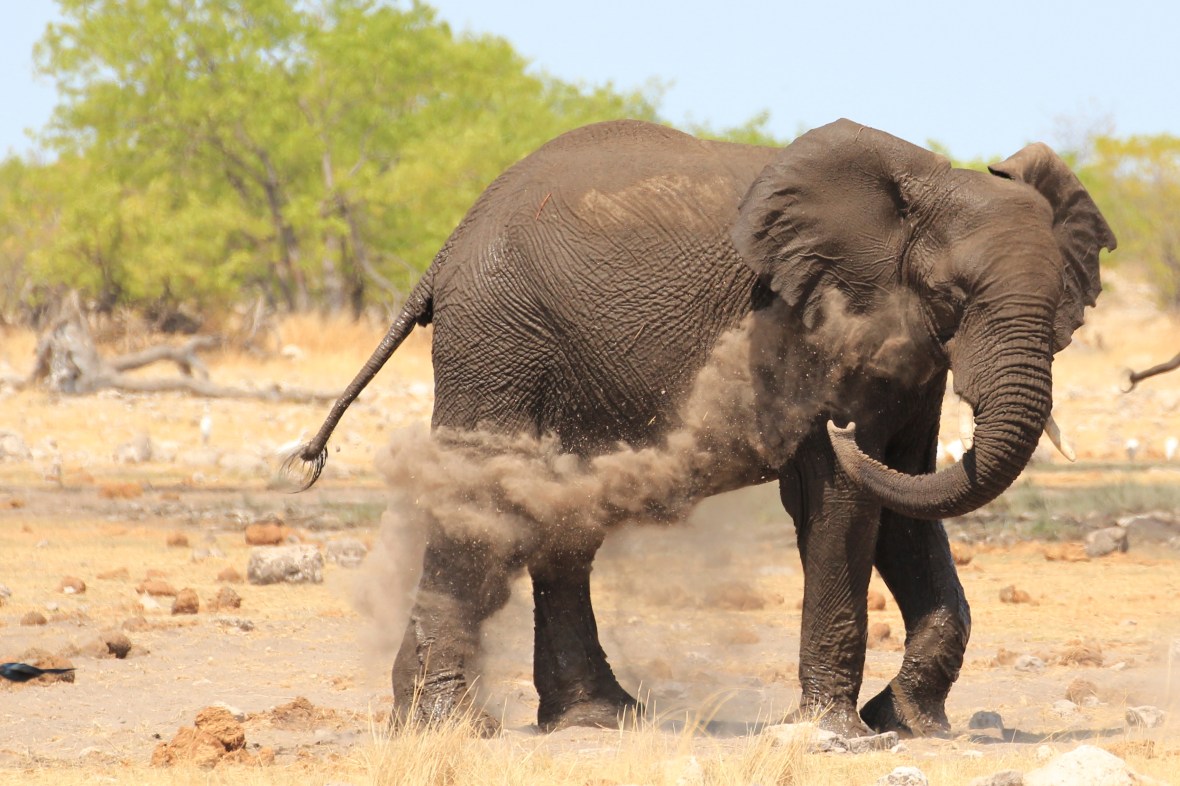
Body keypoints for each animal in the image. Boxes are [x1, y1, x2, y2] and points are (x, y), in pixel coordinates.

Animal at [290, 118, 1115, 737]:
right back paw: (448, 726)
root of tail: (445, 253)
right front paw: (836, 733)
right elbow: (843, 499)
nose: (844, 423)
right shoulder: (811, 326)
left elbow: (909, 500)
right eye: (953, 293)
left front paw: (908, 722)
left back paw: (598, 718)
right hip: (499, 334)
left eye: (1062, 297)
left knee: (557, 517)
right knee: (482, 500)